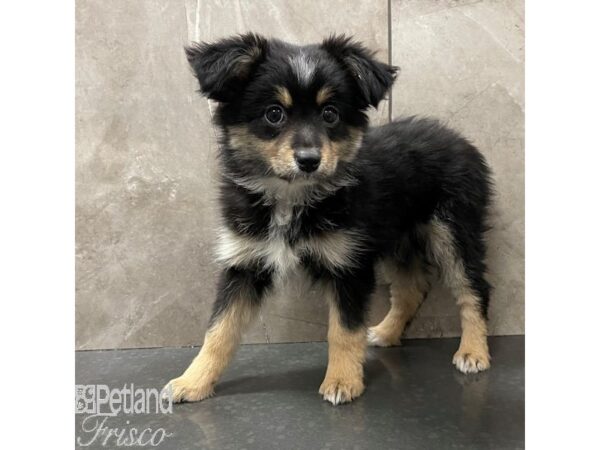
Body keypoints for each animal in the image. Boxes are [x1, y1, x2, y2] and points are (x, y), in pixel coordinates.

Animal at [164, 33, 492, 406]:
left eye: (330, 114)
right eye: (274, 113)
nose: (309, 160)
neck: (290, 197)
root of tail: (460, 140)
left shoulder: (348, 264)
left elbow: (344, 330)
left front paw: (342, 382)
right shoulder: (245, 262)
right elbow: (219, 330)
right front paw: (192, 381)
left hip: (453, 228)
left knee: (474, 288)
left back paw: (473, 352)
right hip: (394, 238)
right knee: (412, 288)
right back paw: (386, 332)